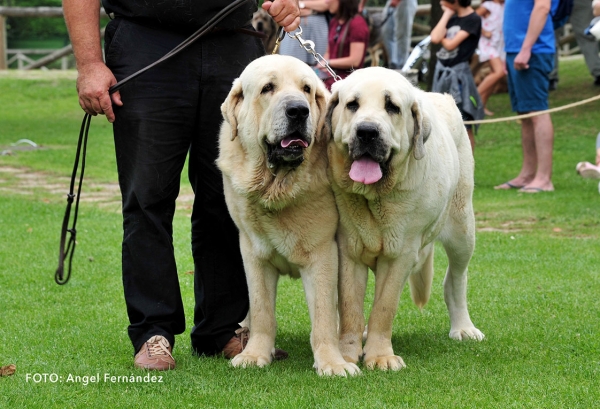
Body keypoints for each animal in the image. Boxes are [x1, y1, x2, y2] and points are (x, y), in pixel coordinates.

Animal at [217, 55, 360, 376]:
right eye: (268, 88)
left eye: (306, 89)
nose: (298, 110)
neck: (276, 186)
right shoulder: (253, 253)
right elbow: (261, 311)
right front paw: (255, 354)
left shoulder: (323, 254)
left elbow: (323, 315)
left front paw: (332, 362)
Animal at [326, 67, 486, 370]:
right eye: (352, 105)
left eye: (392, 107)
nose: (367, 132)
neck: (376, 197)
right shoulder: (348, 250)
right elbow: (351, 309)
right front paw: (346, 354)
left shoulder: (401, 254)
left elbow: (384, 307)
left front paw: (380, 356)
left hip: (462, 228)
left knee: (456, 277)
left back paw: (463, 327)